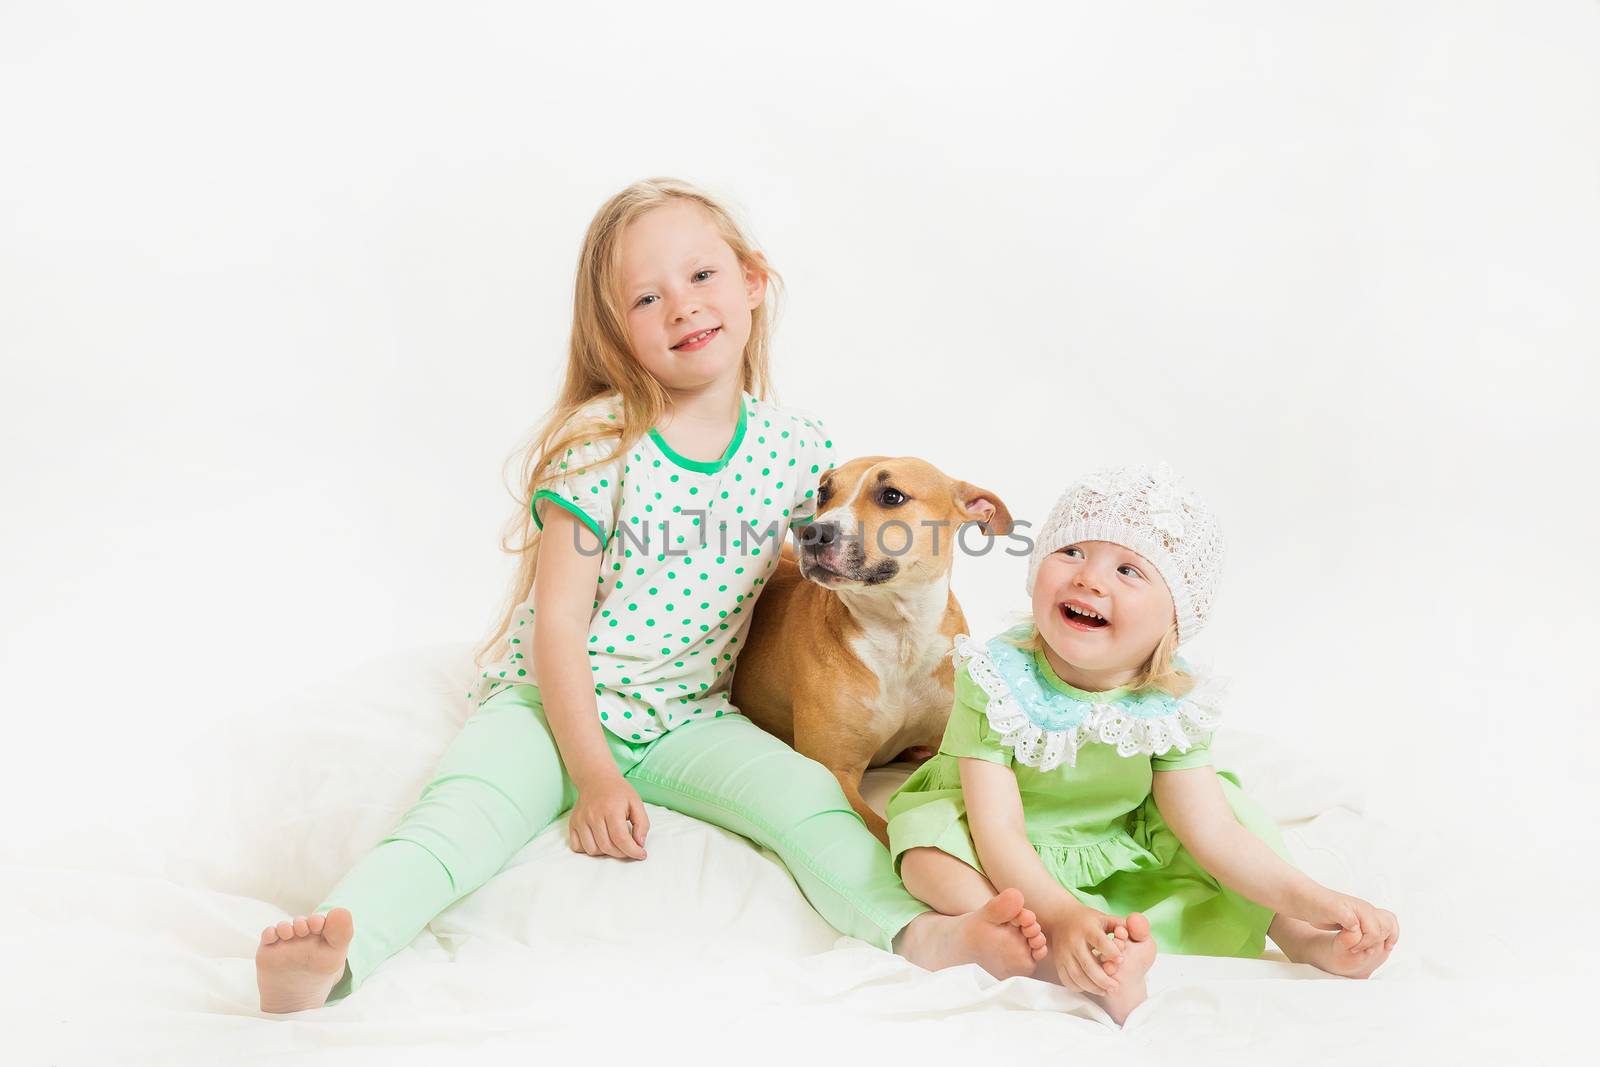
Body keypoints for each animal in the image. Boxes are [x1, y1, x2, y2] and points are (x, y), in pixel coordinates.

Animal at [729, 454, 1011, 844]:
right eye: (823, 493)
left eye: (891, 496)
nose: (813, 533)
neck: (900, 635)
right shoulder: (835, 771)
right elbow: (885, 830)